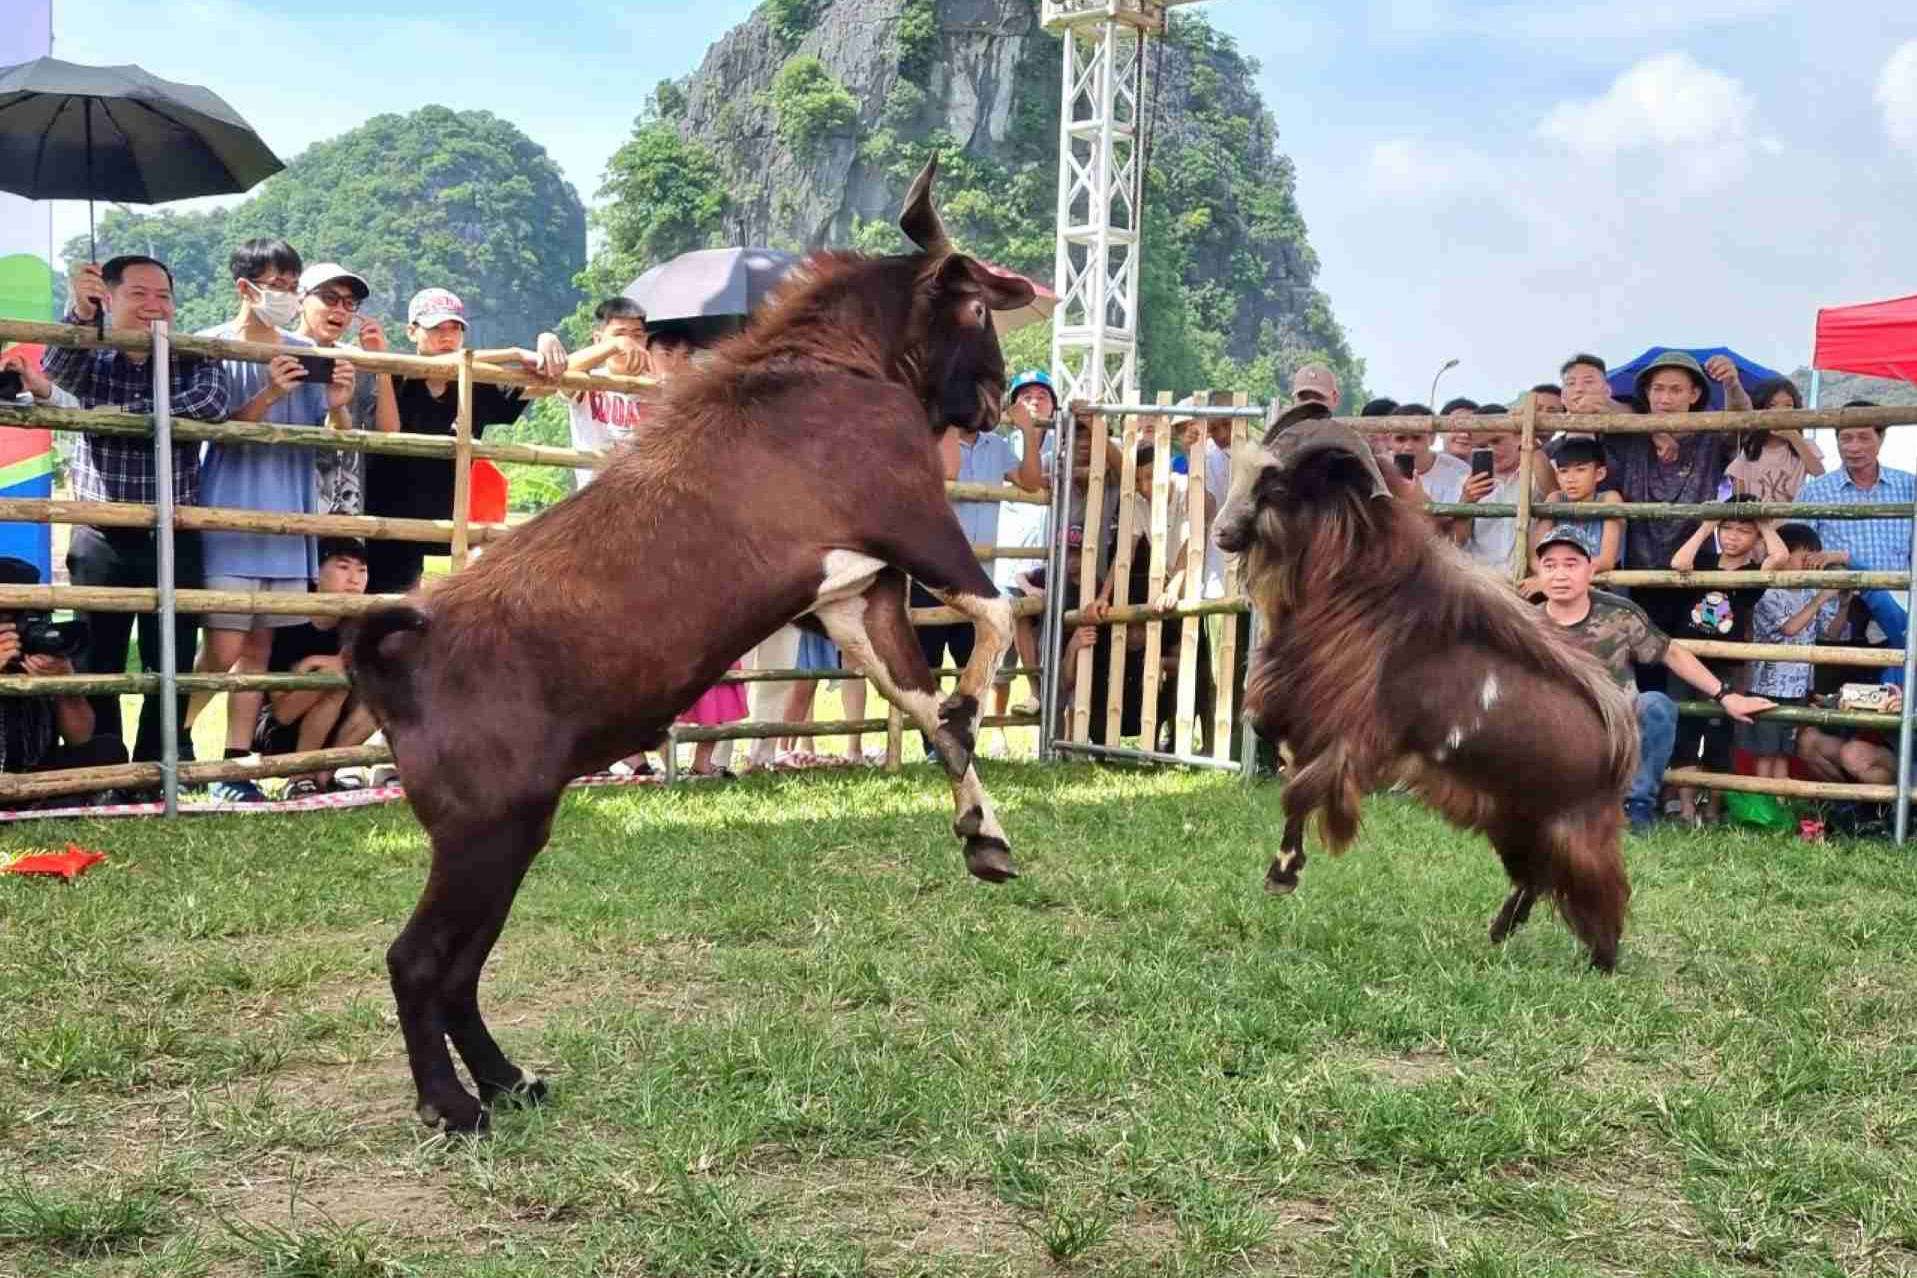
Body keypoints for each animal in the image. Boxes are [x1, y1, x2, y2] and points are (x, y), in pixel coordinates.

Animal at [345, 157, 1035, 1126]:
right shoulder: (913, 522)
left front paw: (982, 833)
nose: (994, 398)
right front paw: (974, 713)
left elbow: (922, 706)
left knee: (460, 968)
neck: (825, 366)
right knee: (418, 961)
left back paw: (509, 1081)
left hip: (508, 829)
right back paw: (453, 1104)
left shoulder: (855, 595)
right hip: (485, 830)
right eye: (975, 306)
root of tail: (400, 663)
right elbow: (990, 620)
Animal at [1219, 402, 1640, 969]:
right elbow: (1288, 770)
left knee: (1601, 894)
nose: (1222, 533)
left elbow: (1298, 793)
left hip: (1575, 831)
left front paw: (1282, 874)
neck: (1354, 590)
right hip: (1515, 819)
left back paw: (1600, 961)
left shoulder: (1355, 737)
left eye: (1278, 486)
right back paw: (1502, 928)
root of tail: (1619, 752)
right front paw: (1284, 870)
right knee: (1534, 877)